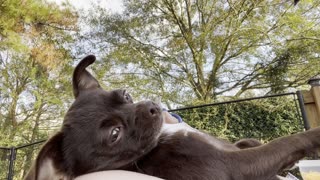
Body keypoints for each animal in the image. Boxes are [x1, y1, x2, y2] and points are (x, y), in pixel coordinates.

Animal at [25, 55, 320, 180]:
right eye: (114, 134)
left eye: (126, 95)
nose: (152, 108)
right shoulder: (236, 166)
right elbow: (285, 142)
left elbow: (248, 142)